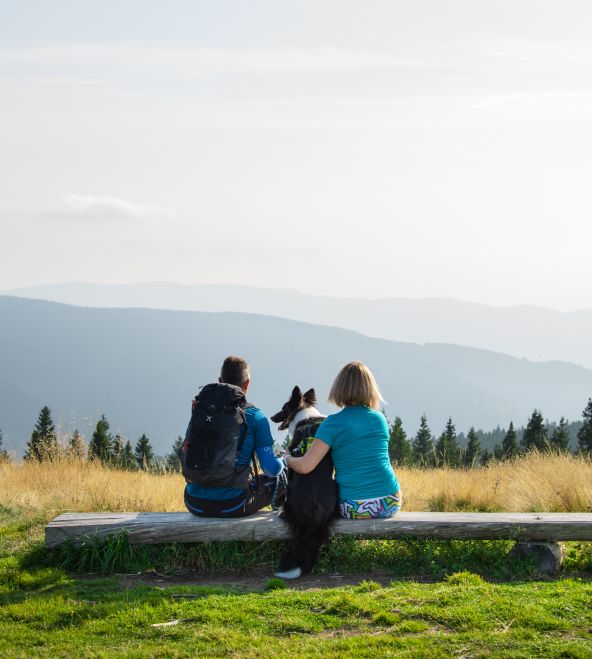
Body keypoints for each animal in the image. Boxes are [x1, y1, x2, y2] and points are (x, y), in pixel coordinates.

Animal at [270, 386, 338, 576]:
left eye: (284, 408)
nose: (271, 417)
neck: (305, 416)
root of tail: (312, 520)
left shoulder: (292, 465)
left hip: (290, 489)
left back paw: (280, 511)